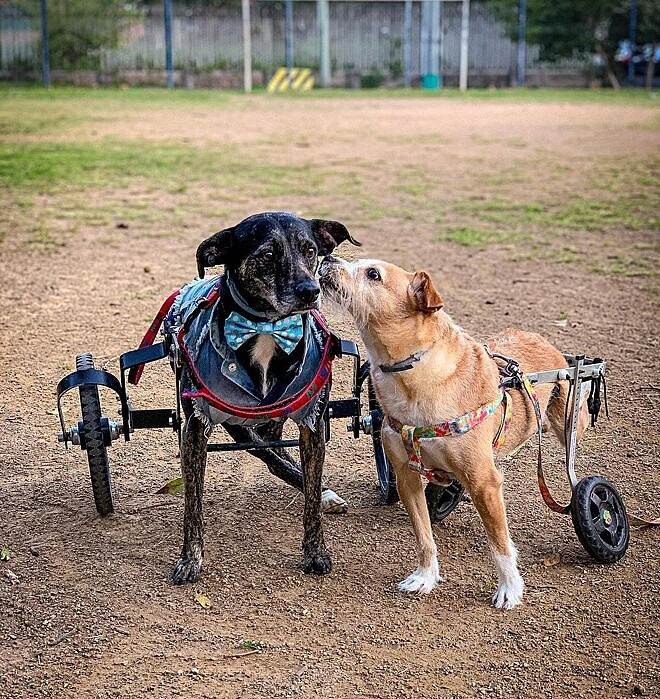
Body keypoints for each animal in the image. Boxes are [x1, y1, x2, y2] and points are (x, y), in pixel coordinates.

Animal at [168, 212, 358, 584]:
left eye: (310, 250)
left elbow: (310, 498)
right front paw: (190, 559)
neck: (268, 331)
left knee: (273, 448)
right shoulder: (196, 428)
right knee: (265, 450)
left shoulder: (312, 423)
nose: (310, 291)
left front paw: (316, 552)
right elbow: (192, 504)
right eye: (267, 255)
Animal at [318, 256, 588, 608]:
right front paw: (425, 576)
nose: (328, 258)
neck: (411, 376)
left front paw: (510, 588)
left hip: (567, 419)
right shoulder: (405, 477)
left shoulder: (483, 482)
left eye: (373, 273)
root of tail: (538, 337)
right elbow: (424, 536)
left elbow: (500, 544)